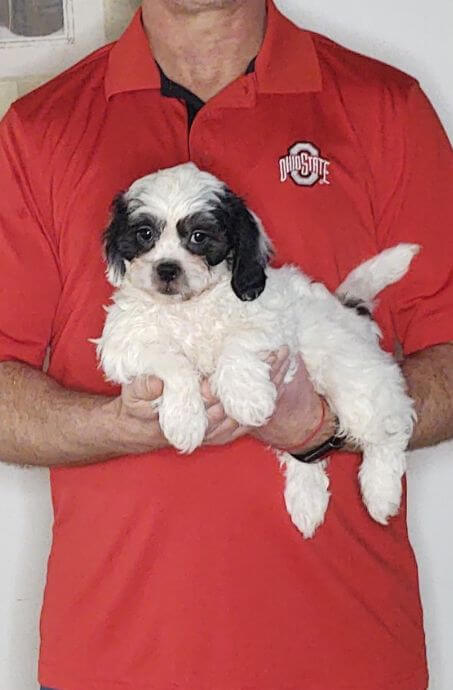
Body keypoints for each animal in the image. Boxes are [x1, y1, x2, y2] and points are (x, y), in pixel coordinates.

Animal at [93, 163, 418, 536]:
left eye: (199, 237)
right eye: (145, 233)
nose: (167, 269)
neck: (189, 306)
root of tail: (349, 309)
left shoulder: (269, 322)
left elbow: (237, 343)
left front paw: (246, 397)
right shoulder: (124, 343)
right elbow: (172, 362)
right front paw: (185, 419)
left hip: (351, 371)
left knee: (388, 425)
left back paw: (380, 492)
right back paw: (307, 501)